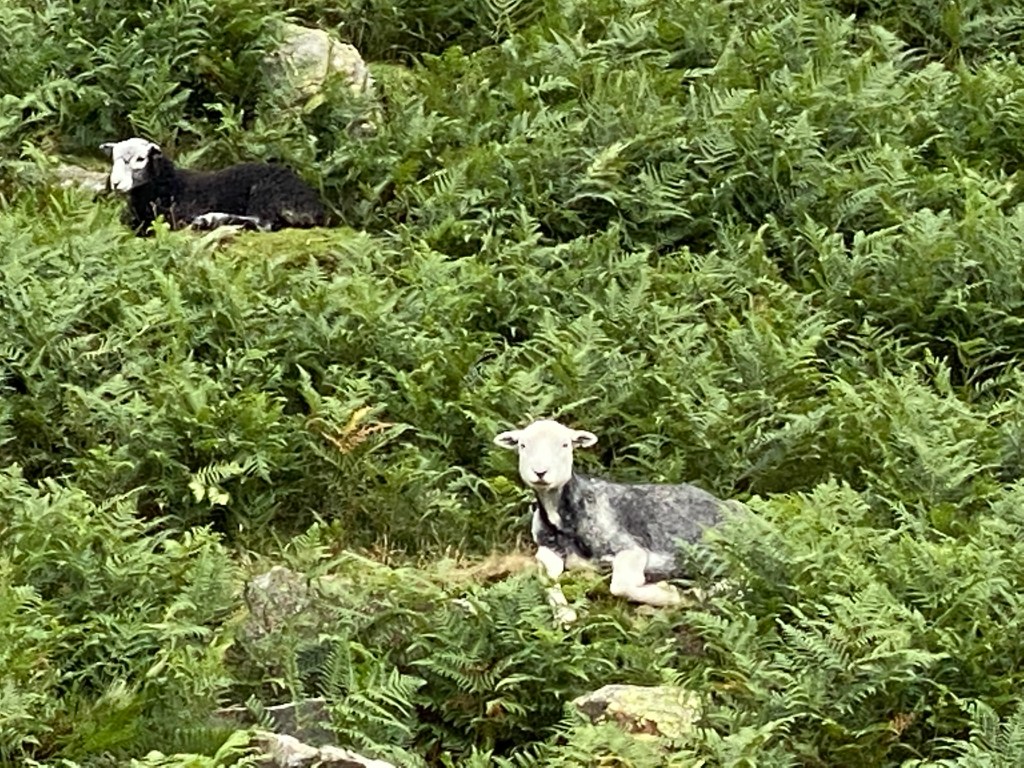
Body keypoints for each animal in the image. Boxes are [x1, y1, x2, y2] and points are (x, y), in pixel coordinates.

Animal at [100, 138, 326, 236]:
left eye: (140, 159)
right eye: (113, 159)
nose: (115, 183)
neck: (171, 186)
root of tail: (315, 206)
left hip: (266, 193)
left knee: (263, 223)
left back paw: (210, 220)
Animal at [494, 419, 725, 613]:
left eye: (565, 445)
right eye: (522, 445)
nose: (540, 472)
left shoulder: (631, 549)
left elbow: (621, 586)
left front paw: (672, 593)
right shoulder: (547, 549)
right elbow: (546, 578)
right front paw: (565, 614)